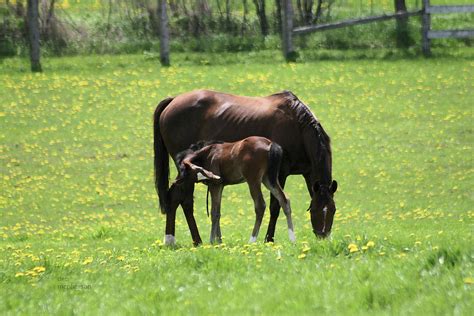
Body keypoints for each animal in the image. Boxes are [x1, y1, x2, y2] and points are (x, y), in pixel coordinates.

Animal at [153, 90, 336, 246]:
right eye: (315, 210)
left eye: (333, 211)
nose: (323, 237)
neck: (296, 125)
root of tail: (173, 100)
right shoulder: (281, 173)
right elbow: (275, 207)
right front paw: (269, 239)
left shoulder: (302, 173)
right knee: (180, 199)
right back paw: (182, 239)